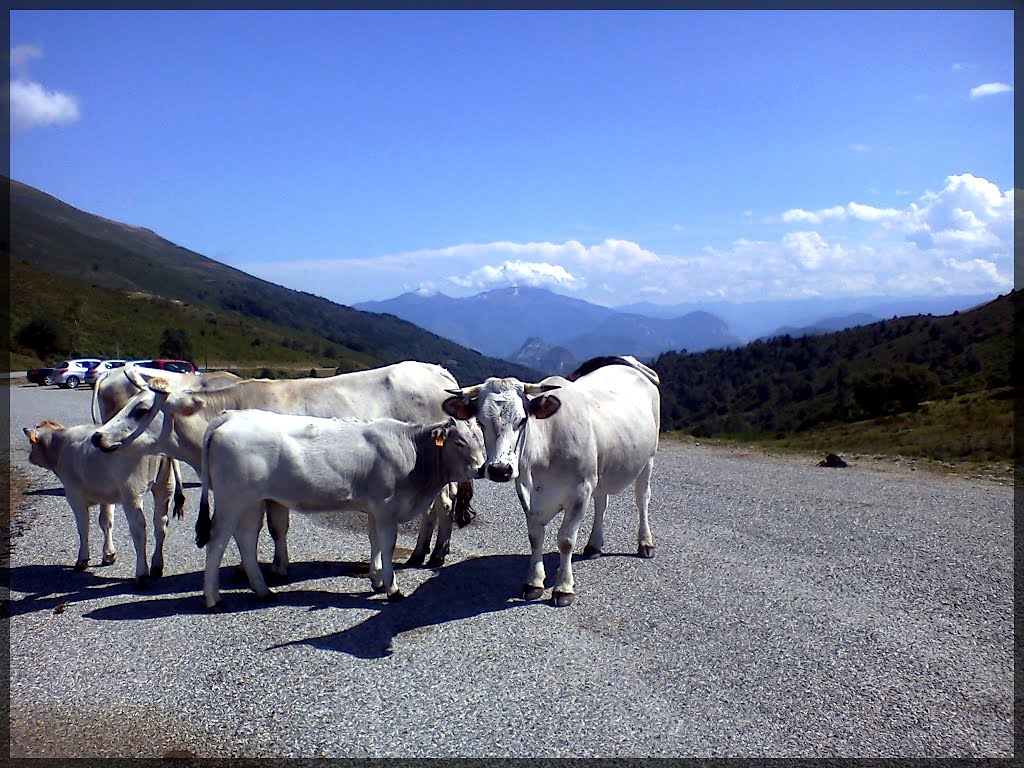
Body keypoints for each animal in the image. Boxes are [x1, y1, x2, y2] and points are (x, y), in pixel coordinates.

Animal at [22, 417, 178, 585]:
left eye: (31, 442)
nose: (30, 457)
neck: (61, 445)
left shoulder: (74, 496)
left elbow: (83, 527)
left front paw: (82, 560)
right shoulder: (106, 496)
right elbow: (106, 522)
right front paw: (109, 555)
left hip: (132, 494)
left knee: (138, 529)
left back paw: (142, 574)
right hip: (165, 486)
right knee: (161, 524)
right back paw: (157, 566)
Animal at [90, 362, 473, 577]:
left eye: (141, 410)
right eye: (125, 404)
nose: (98, 436)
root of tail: (435, 370)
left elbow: (270, 527)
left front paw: (272, 568)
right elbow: (273, 528)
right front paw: (274, 564)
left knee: (444, 505)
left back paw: (436, 554)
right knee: (436, 508)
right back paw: (423, 551)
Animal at [199, 411, 487, 610]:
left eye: (481, 439)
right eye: (459, 442)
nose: (482, 467)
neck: (413, 452)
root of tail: (230, 416)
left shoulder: (374, 508)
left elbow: (375, 542)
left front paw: (376, 579)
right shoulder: (386, 507)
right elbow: (387, 545)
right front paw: (392, 588)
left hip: (253, 501)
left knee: (247, 539)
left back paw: (263, 591)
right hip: (232, 498)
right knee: (218, 542)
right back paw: (214, 600)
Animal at [444, 354, 659, 606]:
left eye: (522, 420)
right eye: (480, 422)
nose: (500, 470)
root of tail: (627, 361)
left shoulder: (580, 490)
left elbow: (565, 539)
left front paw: (563, 588)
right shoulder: (527, 492)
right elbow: (535, 537)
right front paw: (534, 582)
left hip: (649, 458)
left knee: (642, 499)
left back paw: (645, 543)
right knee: (601, 504)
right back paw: (594, 545)